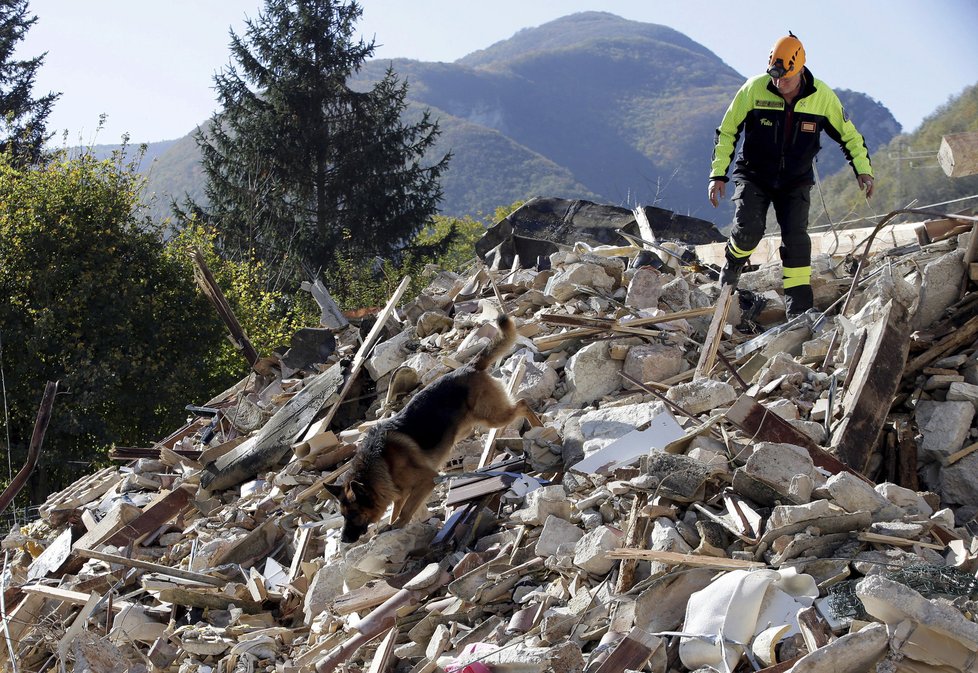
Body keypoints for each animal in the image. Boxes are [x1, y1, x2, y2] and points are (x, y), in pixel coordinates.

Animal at [328, 314, 540, 540]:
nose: (344, 540)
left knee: (522, 404)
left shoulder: (426, 480)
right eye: (343, 515)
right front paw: (391, 524)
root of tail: (469, 367)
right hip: (468, 427)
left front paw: (398, 524)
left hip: (494, 417)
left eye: (354, 514)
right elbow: (396, 507)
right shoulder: (399, 491)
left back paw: (538, 426)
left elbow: (406, 509)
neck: (381, 462)